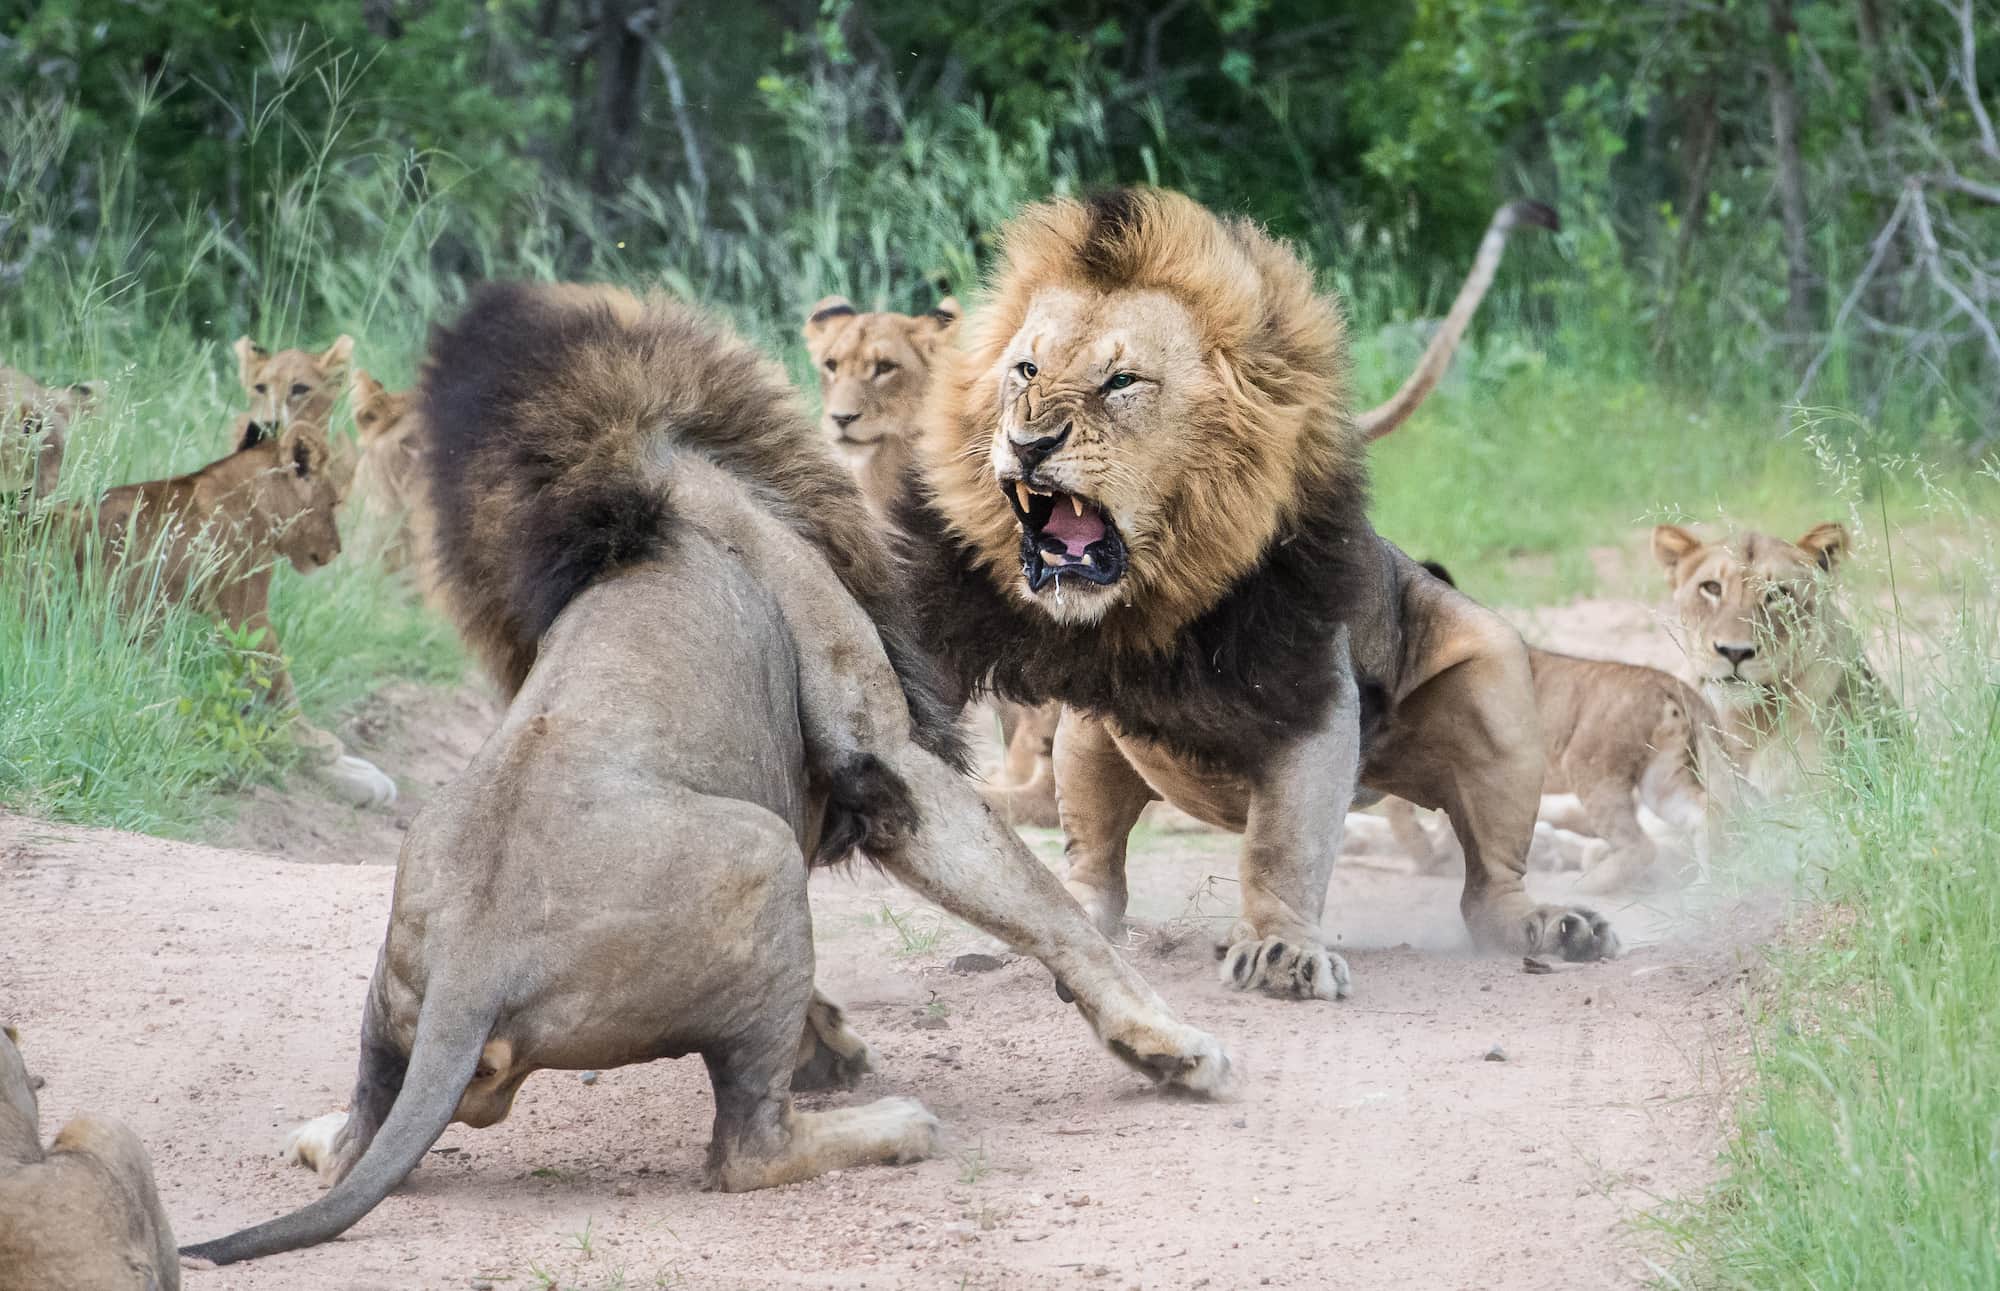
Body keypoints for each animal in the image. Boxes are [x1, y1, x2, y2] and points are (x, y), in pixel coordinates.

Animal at [179, 283, 1225, 1268]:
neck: (666, 480)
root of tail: (471, 971)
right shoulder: (883, 756)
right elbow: (1045, 905)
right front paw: (1171, 1047)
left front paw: (828, 1039)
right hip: (762, 854)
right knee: (746, 1151)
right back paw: (895, 1124)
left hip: (398, 979)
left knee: (362, 1140)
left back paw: (318, 1132)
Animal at [895, 188, 1612, 1002]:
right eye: (1025, 369)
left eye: (1122, 382)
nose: (1029, 442)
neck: (1167, 594)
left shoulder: (1315, 692)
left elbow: (1282, 847)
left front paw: (1279, 950)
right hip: (1086, 739)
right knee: (1094, 867)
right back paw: (1063, 923)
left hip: (1493, 679)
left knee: (1490, 885)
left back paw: (1553, 925)